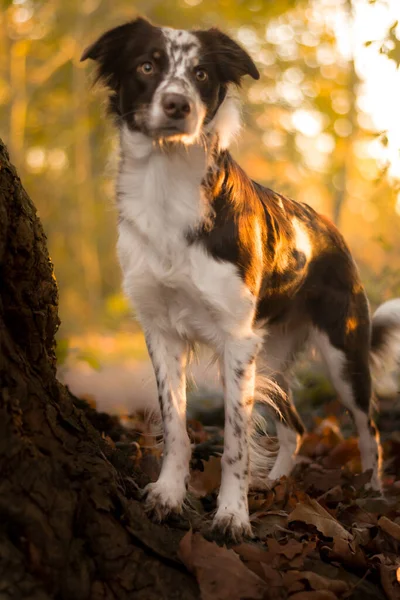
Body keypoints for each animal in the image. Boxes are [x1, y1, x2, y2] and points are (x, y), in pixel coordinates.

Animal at [81, 18, 400, 540]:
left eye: (202, 74)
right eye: (147, 66)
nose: (178, 105)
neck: (169, 188)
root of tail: (330, 231)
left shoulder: (235, 339)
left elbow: (234, 442)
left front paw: (233, 514)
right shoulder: (162, 332)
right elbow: (176, 426)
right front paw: (169, 495)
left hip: (341, 355)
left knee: (367, 427)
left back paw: (372, 491)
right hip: (269, 359)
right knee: (296, 426)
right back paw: (277, 483)